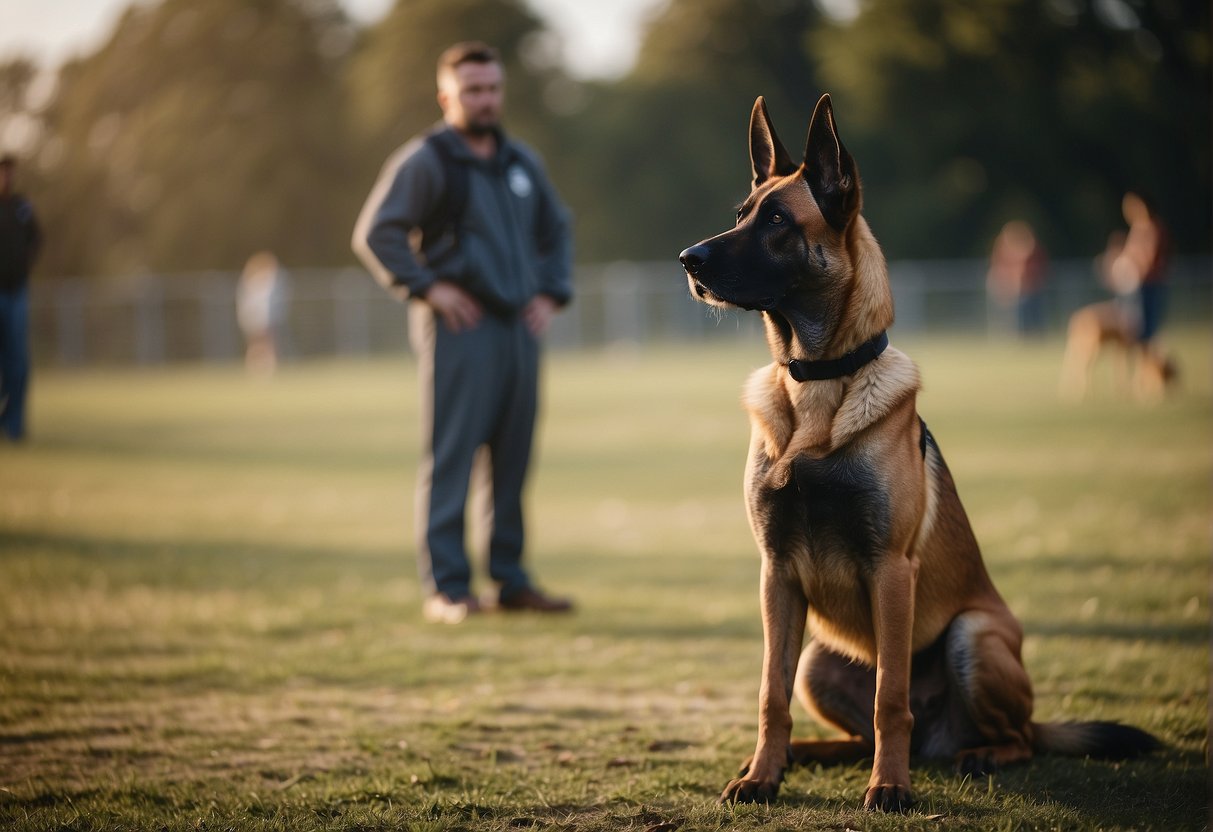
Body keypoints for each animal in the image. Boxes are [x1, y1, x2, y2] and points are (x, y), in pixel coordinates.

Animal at [679, 92, 1159, 815]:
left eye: (776, 221)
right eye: (741, 214)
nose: (687, 258)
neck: (817, 384)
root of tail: (944, 737)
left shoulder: (890, 571)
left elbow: (891, 700)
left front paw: (890, 788)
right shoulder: (776, 576)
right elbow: (770, 694)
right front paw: (762, 775)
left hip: (972, 636)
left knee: (1013, 735)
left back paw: (975, 755)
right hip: (821, 657)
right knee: (850, 724)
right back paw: (810, 754)